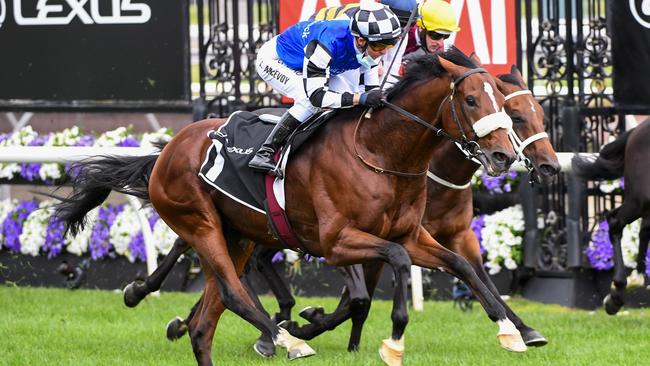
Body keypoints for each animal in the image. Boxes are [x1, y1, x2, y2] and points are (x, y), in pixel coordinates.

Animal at [58, 49, 520, 366]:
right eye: (472, 101)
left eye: (502, 102)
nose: (504, 156)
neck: (380, 153)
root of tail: (168, 150)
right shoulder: (337, 243)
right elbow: (397, 261)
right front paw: (393, 340)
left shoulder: (410, 233)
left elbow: (460, 266)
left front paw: (510, 329)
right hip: (200, 224)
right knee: (232, 290)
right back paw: (287, 339)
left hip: (237, 234)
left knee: (208, 321)